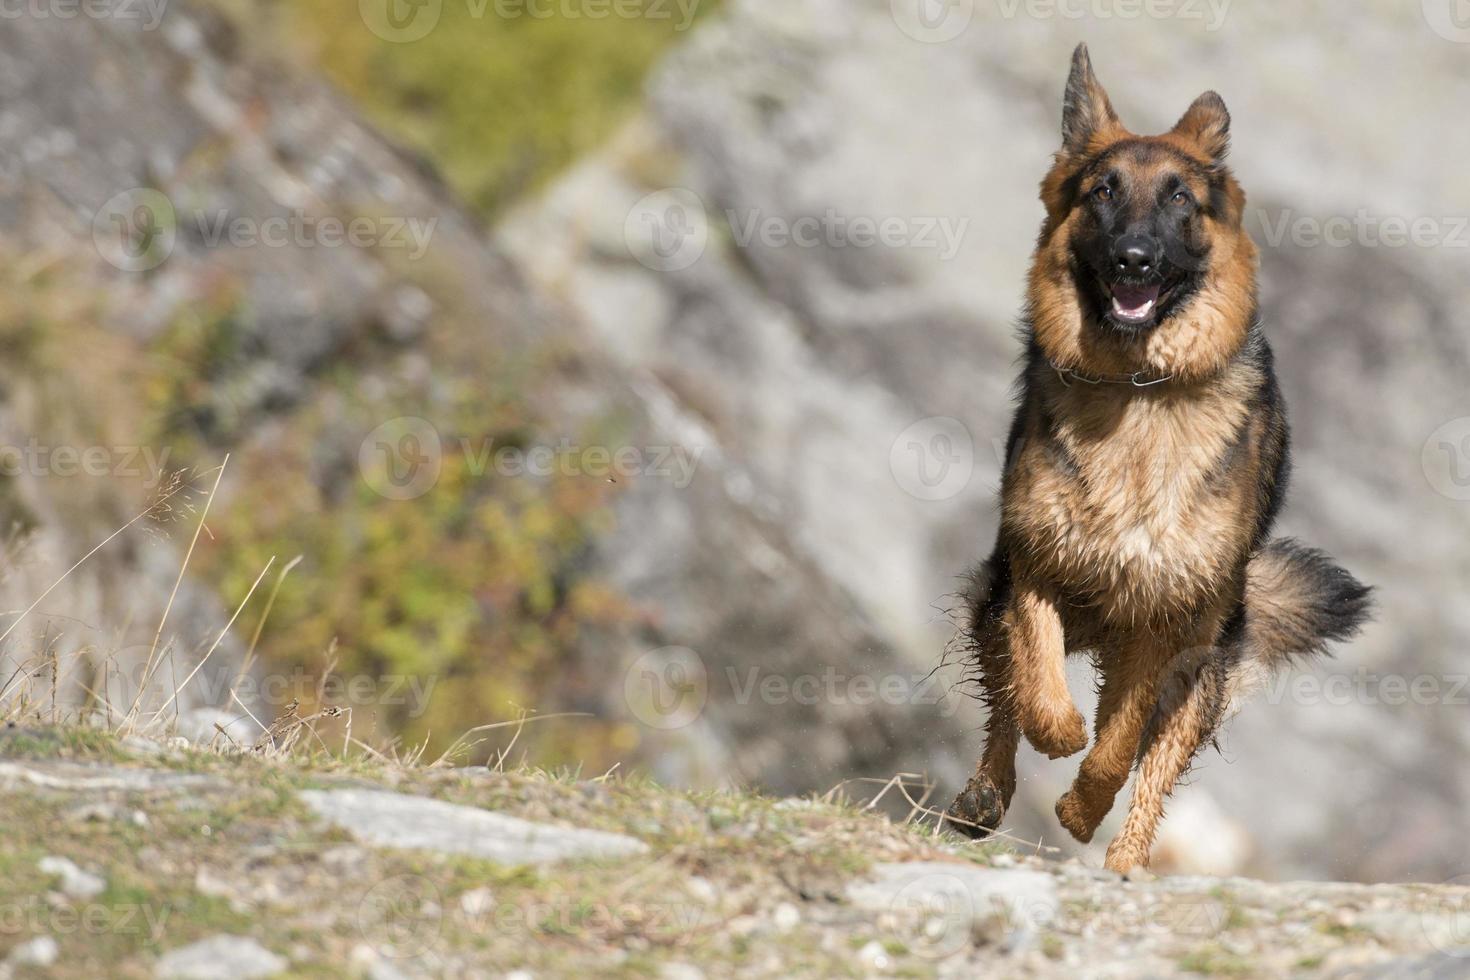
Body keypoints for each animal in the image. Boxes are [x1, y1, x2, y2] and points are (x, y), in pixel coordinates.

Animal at [946, 45, 1370, 875]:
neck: (1138, 390)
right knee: (1006, 698)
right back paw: (984, 793)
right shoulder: (1036, 569)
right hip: (1001, 595)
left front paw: (1080, 811)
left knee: (1151, 771)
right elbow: (1039, 696)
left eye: (1180, 199)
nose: (1133, 260)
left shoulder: (1162, 622)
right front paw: (1058, 737)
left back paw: (1121, 865)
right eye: (1103, 191)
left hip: (1198, 671)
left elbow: (1116, 752)